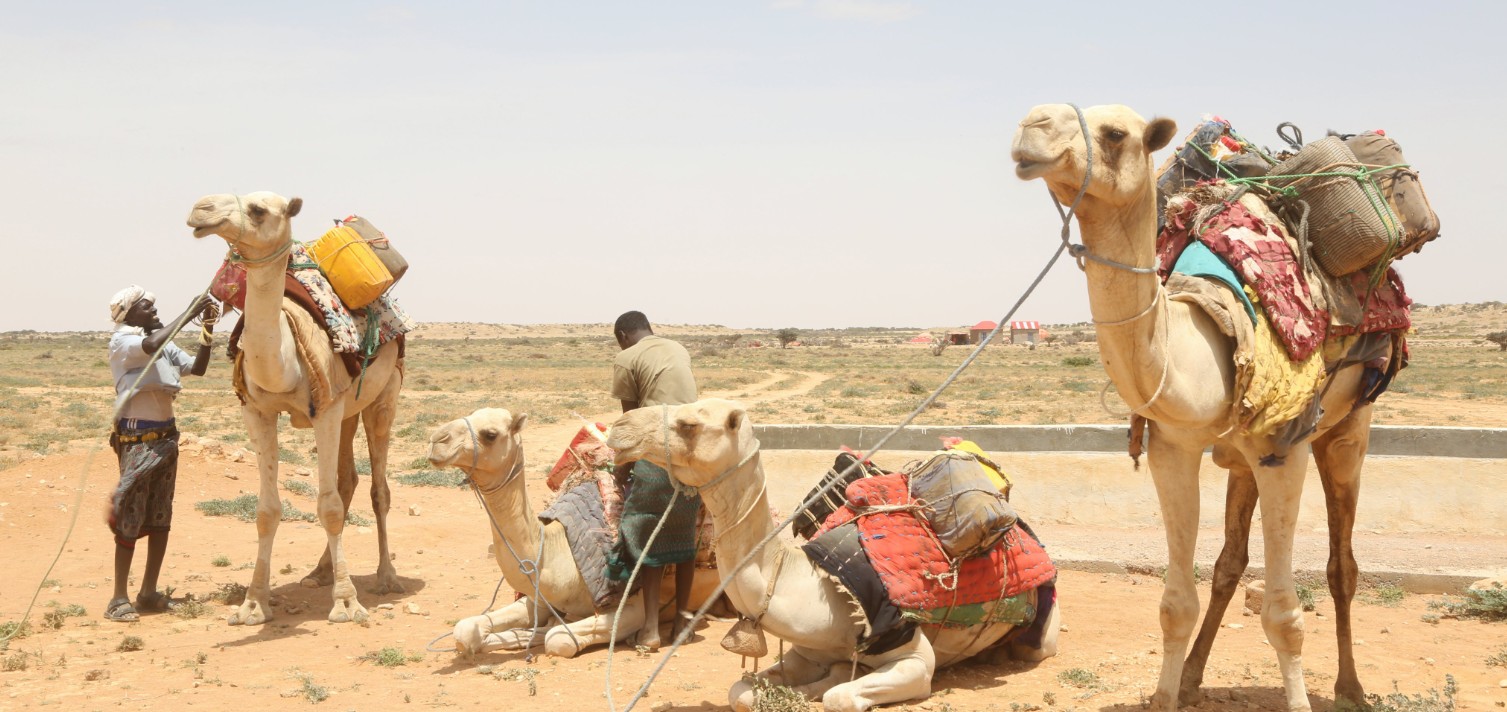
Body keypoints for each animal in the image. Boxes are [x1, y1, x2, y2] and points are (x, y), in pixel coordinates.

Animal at [427, 407, 726, 657]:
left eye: (490, 434)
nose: (436, 439)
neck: (558, 551)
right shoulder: (539, 599)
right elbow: (465, 630)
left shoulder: (631, 607)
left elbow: (557, 637)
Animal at [602, 398, 1060, 712]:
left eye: (689, 423)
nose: (619, 428)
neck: (815, 587)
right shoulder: (806, 651)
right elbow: (742, 692)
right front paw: (801, 689)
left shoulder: (912, 654)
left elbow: (841, 696)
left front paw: (821, 688)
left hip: (1042, 633)